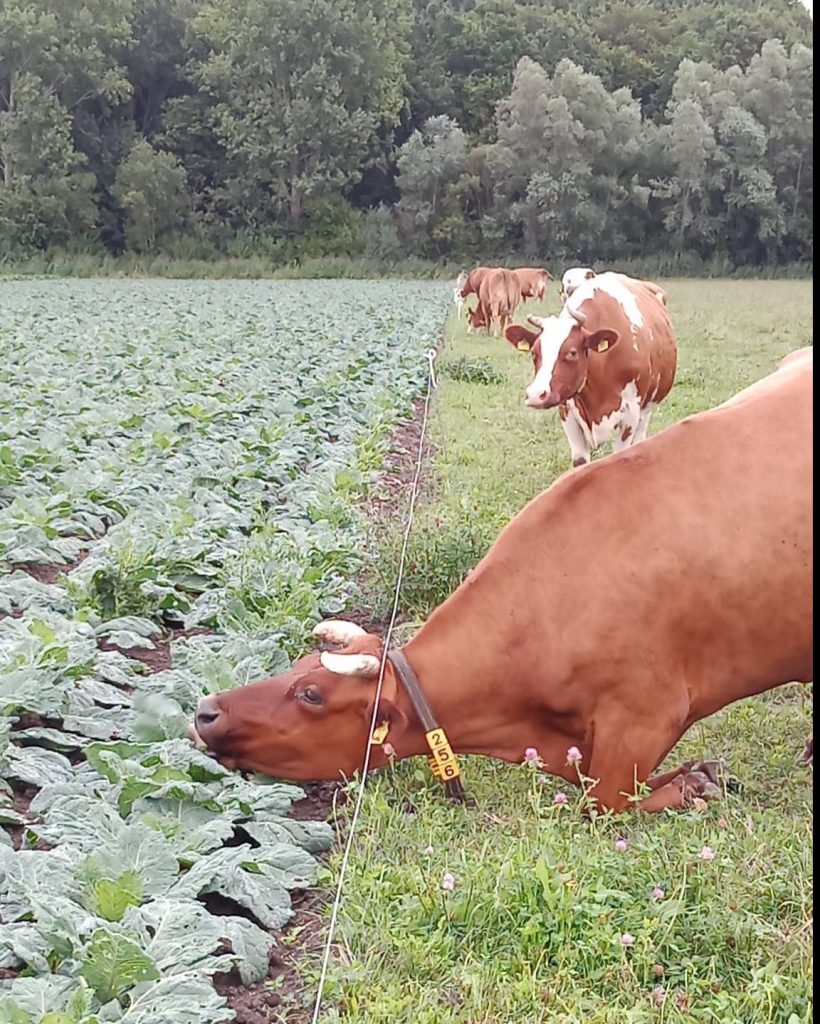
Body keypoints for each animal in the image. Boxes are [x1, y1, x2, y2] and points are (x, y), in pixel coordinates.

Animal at [190, 348, 813, 814]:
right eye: (297, 667)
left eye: (312, 694)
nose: (206, 710)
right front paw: (698, 775)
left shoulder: (644, 714)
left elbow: (605, 802)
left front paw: (694, 784)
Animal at [504, 272, 677, 467]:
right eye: (534, 352)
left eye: (572, 352)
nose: (535, 394)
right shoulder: (566, 409)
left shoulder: (632, 411)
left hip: (647, 407)